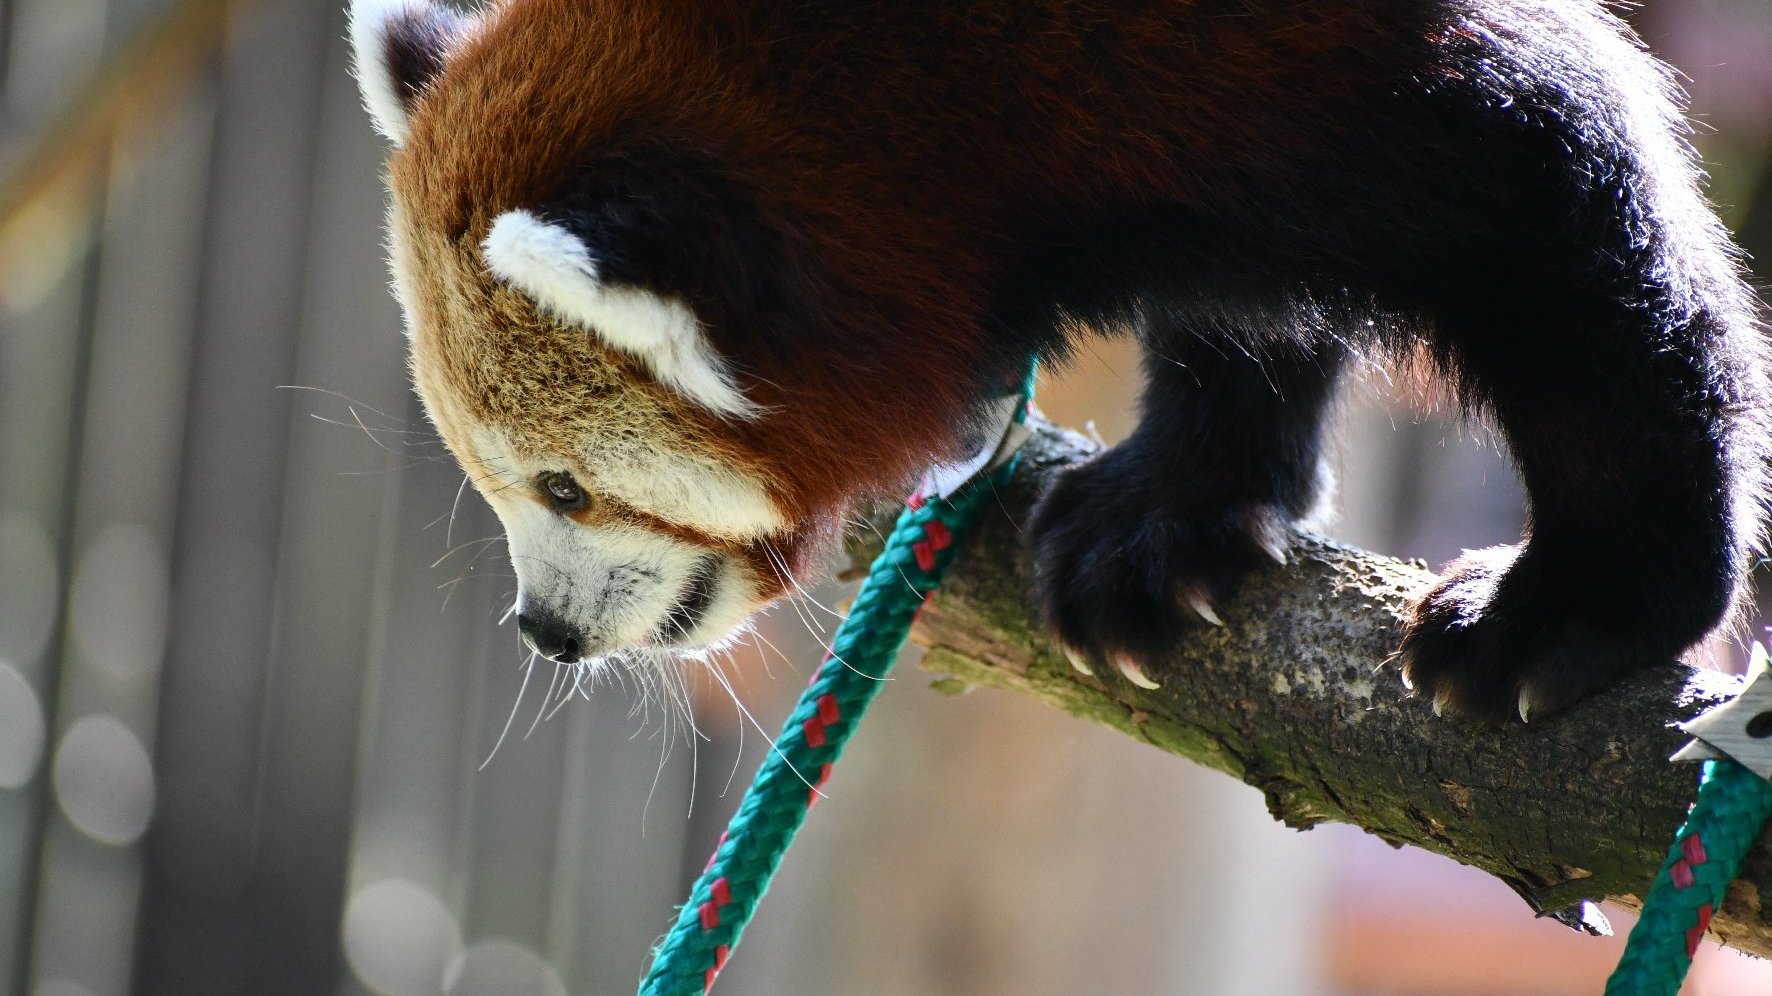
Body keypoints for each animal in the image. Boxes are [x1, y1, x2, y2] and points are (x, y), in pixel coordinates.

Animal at [349, 0, 1772, 715]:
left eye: (566, 488)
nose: (544, 633)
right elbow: (1248, 304)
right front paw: (1169, 511)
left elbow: (1569, 203)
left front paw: (1589, 597)